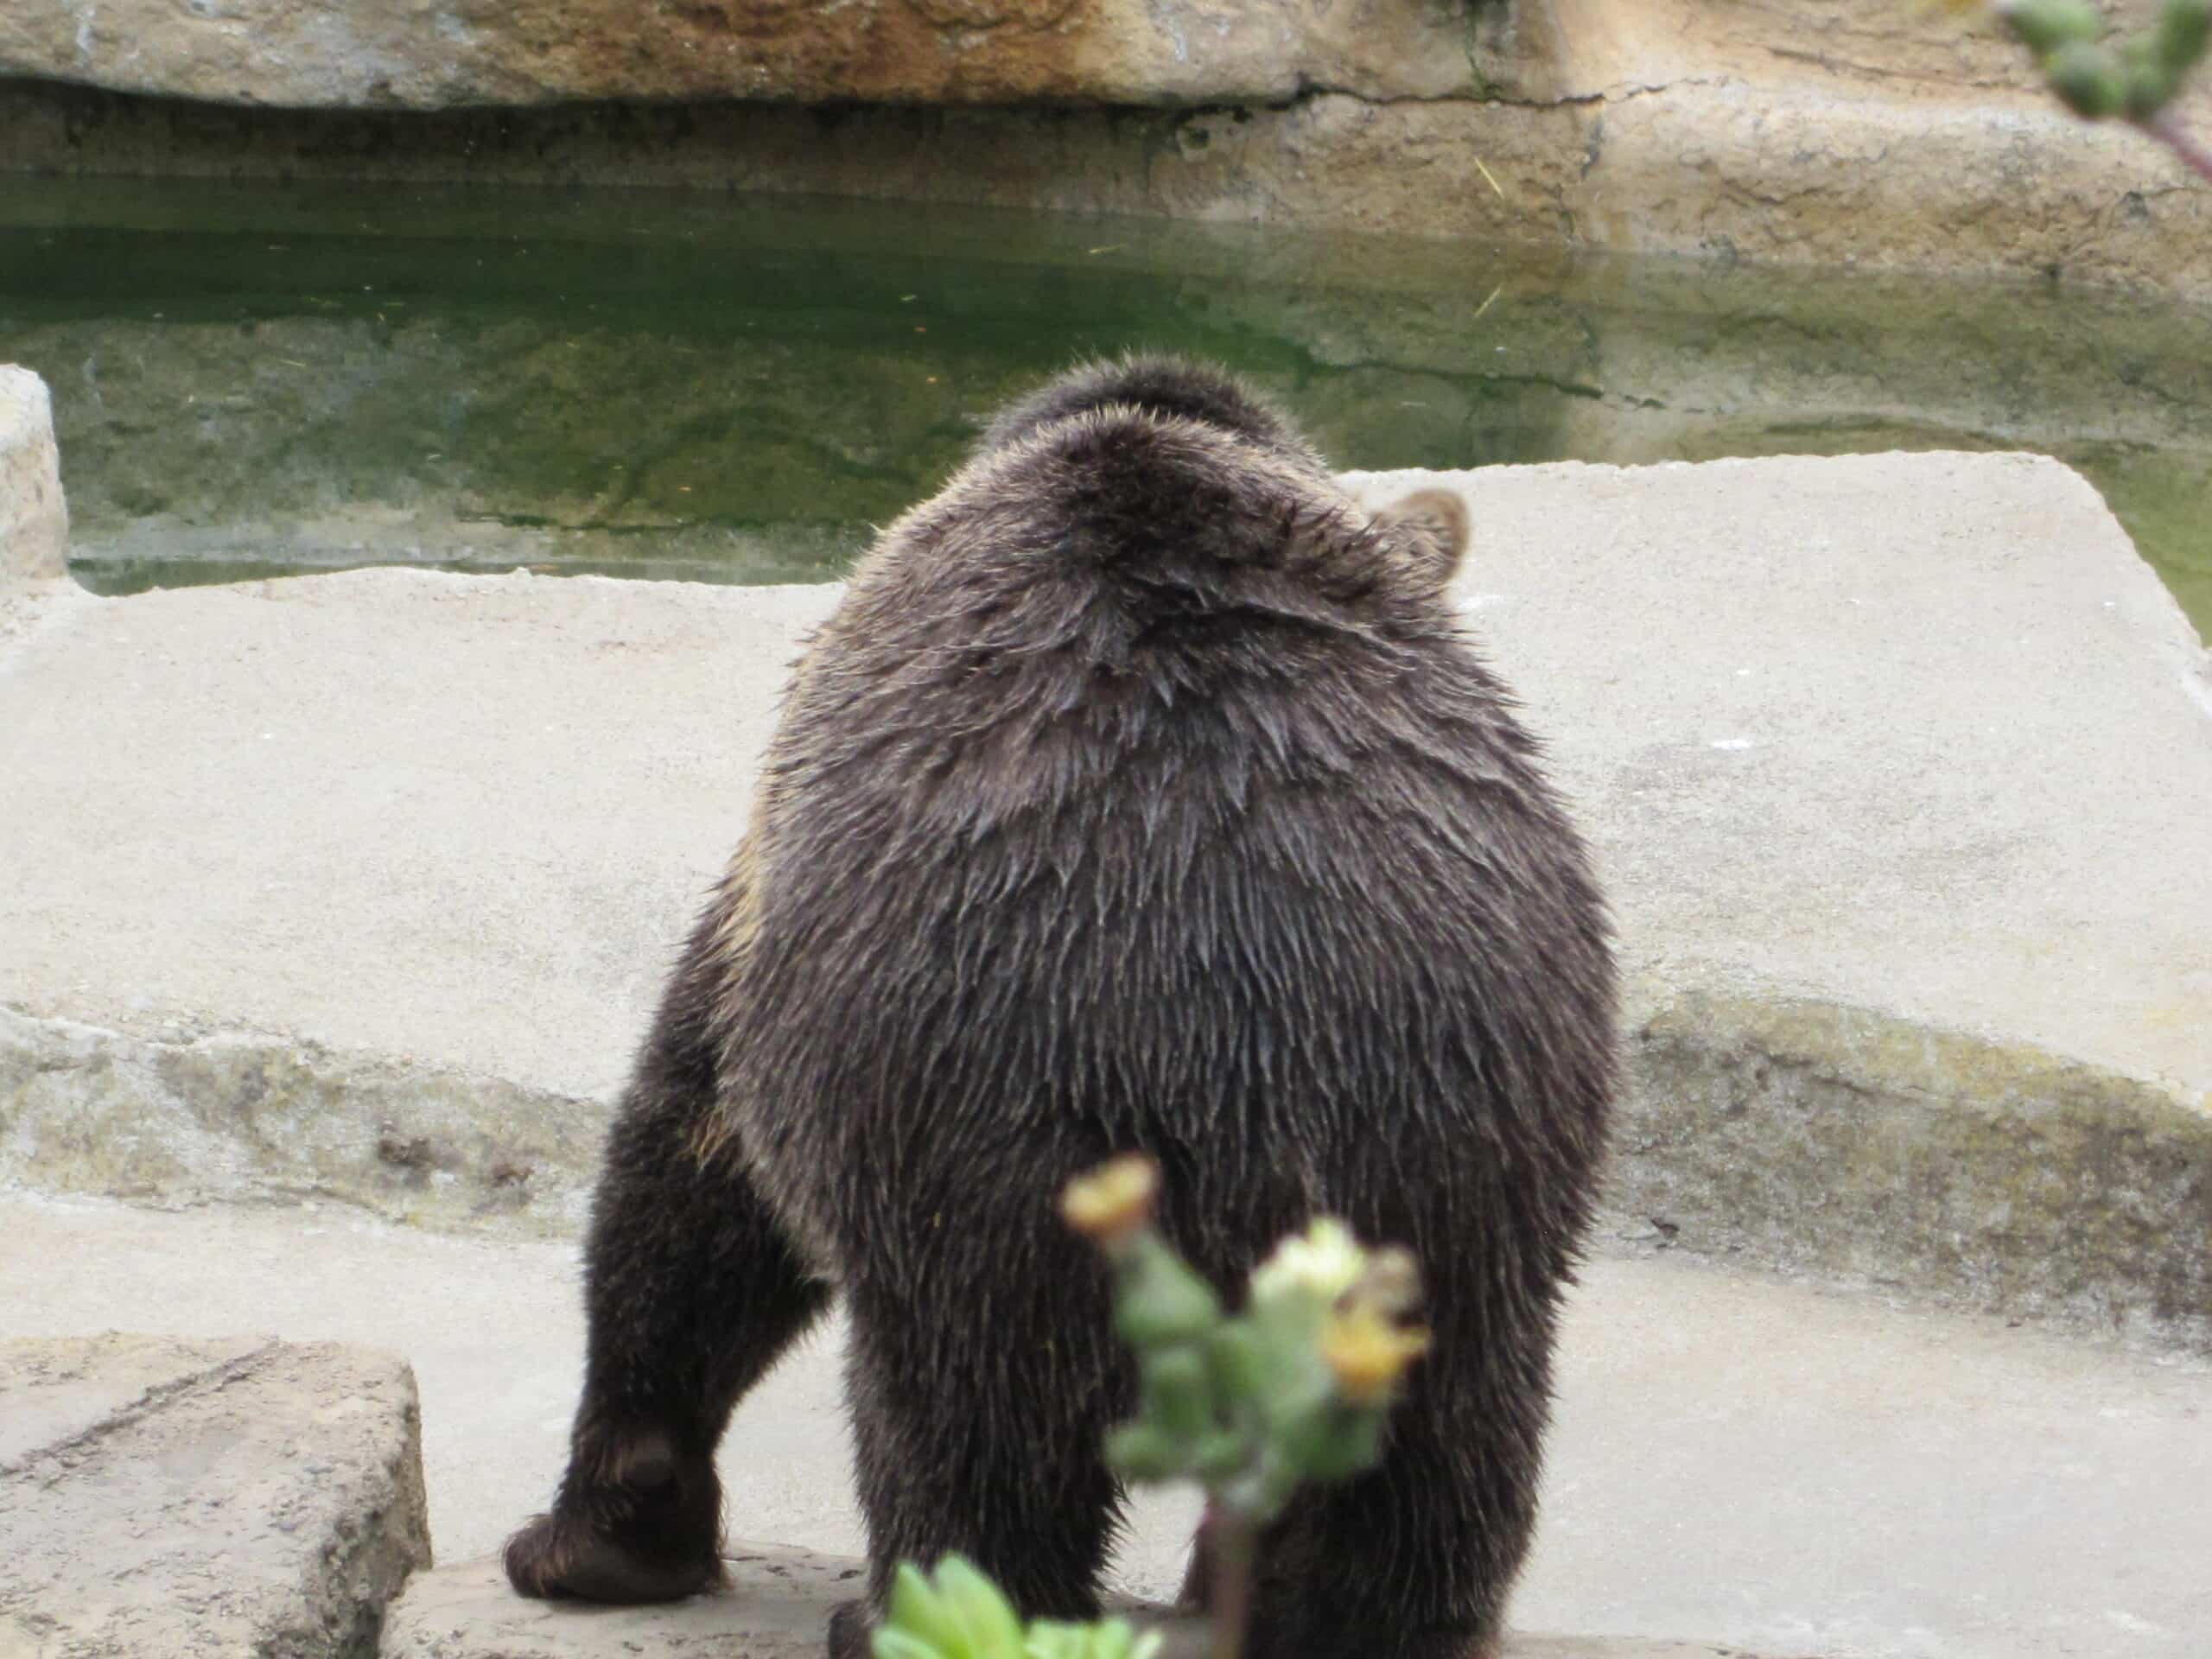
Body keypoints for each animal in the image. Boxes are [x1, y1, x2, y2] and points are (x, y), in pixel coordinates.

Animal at [504, 355, 1616, 1659]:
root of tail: (1255, 1068)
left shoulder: (778, 890)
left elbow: (693, 1166)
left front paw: (596, 1534)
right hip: (1456, 1160)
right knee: (1431, 1481)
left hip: (987, 1142)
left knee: (970, 1444)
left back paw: (900, 1608)